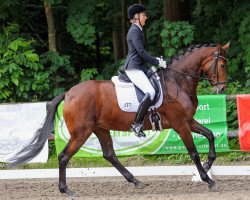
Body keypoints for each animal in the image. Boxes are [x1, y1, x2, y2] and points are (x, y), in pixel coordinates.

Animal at [8, 42, 229, 195]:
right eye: (222, 64)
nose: (222, 89)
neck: (178, 81)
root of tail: (69, 93)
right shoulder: (180, 124)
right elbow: (193, 153)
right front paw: (207, 179)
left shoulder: (188, 121)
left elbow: (210, 135)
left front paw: (208, 166)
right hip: (81, 132)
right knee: (64, 157)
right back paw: (66, 190)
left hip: (100, 128)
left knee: (109, 155)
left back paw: (136, 181)